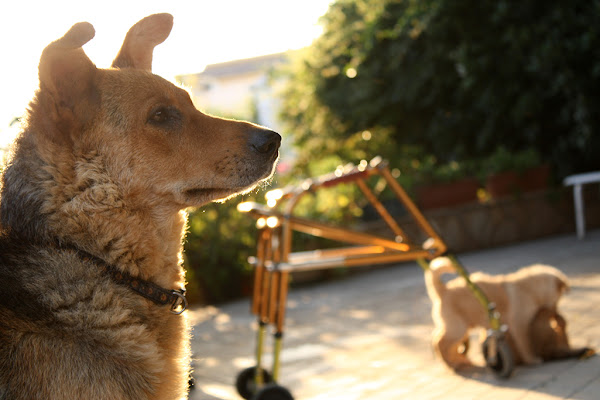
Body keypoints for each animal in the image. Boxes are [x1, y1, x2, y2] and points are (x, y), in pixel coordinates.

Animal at [426, 258, 568, 370]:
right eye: (559, 298)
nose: (557, 315)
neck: (529, 288)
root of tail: (443, 290)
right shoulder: (519, 324)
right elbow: (526, 344)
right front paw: (532, 360)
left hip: (462, 327)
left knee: (439, 339)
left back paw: (460, 360)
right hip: (458, 328)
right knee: (440, 343)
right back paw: (451, 364)